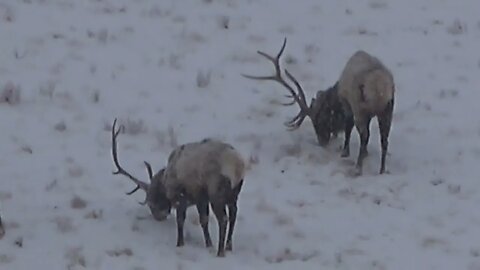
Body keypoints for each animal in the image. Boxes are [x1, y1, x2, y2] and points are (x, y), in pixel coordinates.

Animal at [244, 38, 394, 176]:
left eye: (319, 120)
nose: (322, 142)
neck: (336, 95)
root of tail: (379, 89)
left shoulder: (349, 104)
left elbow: (348, 127)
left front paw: (345, 152)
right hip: (388, 110)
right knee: (384, 140)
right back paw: (382, 169)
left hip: (361, 109)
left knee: (365, 136)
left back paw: (358, 168)